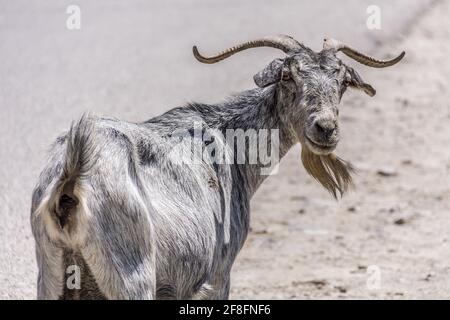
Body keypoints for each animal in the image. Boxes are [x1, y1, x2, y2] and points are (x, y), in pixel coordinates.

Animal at [30, 33, 404, 298]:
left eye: (342, 82)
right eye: (288, 76)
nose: (325, 128)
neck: (230, 142)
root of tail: (72, 180)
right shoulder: (218, 274)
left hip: (52, 276)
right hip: (131, 275)